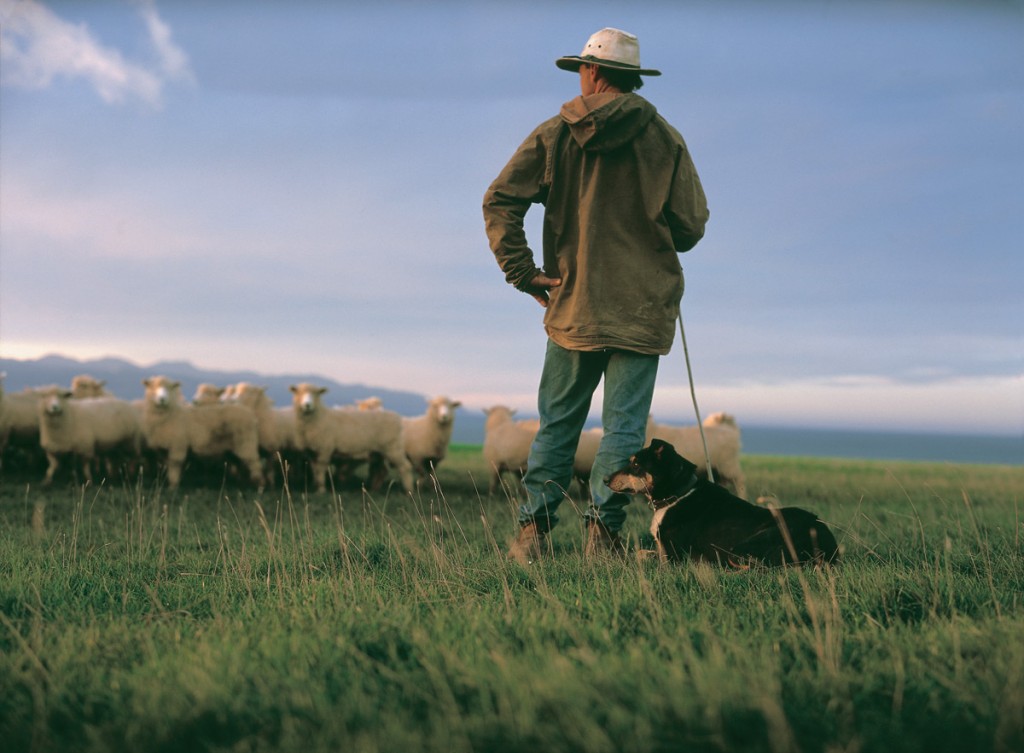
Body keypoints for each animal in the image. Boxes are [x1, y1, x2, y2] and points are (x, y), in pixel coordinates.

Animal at [602, 438, 835, 569]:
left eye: (635, 464)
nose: (604, 480)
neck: (678, 493)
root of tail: (828, 543)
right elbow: (641, 552)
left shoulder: (673, 557)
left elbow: (643, 556)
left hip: (741, 548)